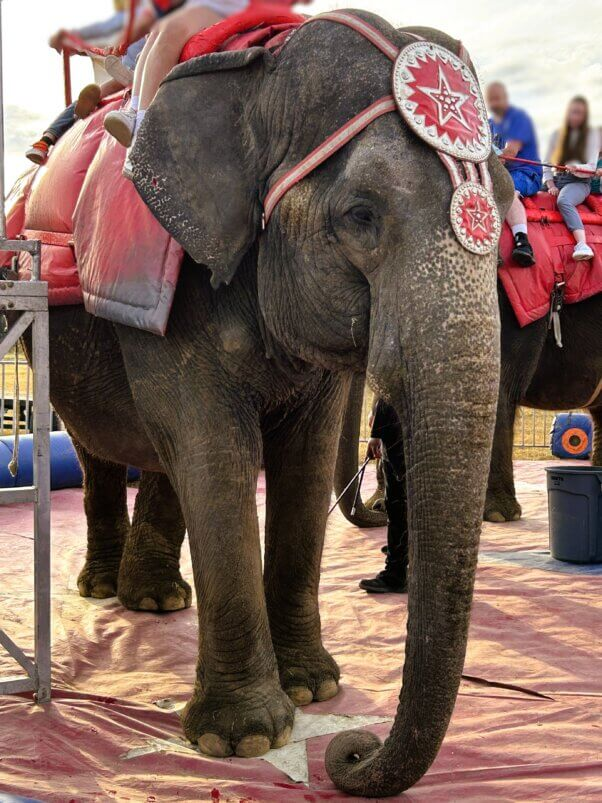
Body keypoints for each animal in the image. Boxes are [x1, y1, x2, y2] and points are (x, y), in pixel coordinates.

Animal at [18, 11, 513, 796]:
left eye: (506, 210)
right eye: (361, 215)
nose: (349, 751)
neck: (264, 72)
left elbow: (302, 464)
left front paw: (315, 689)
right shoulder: (180, 282)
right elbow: (216, 451)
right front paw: (244, 737)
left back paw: (154, 601)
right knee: (100, 448)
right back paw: (105, 591)